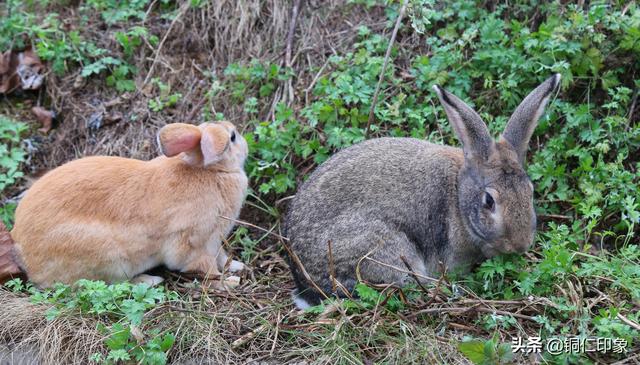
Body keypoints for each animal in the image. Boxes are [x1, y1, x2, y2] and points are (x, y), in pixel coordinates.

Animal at [11, 122, 250, 288]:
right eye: (232, 137)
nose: (245, 143)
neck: (213, 171)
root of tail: (23, 252)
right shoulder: (197, 243)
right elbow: (207, 269)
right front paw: (228, 283)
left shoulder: (215, 242)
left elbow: (222, 257)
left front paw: (238, 266)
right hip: (108, 259)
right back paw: (150, 281)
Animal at [284, 74, 560, 308]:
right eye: (489, 201)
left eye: (530, 191)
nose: (521, 244)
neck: (458, 195)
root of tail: (305, 283)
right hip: (382, 251)